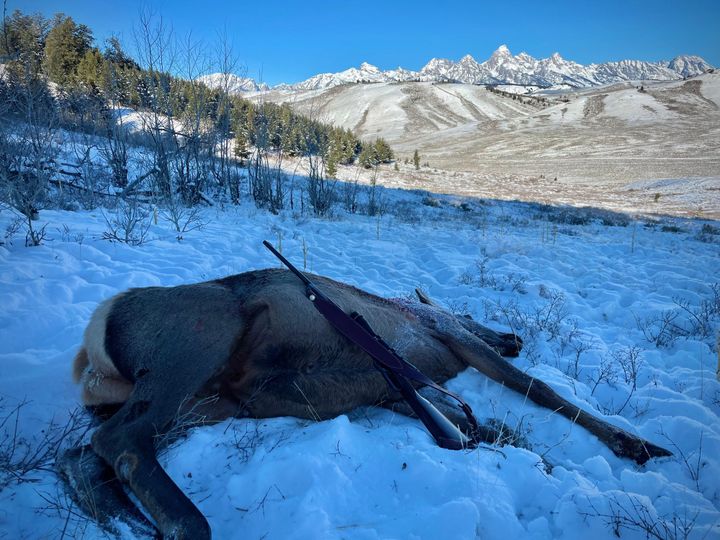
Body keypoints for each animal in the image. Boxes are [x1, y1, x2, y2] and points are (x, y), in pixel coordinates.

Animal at [59, 252, 672, 539]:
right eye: (472, 314)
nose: (515, 338)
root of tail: (90, 350)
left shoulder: (400, 384)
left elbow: (467, 423)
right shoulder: (447, 339)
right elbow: (537, 389)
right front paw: (639, 445)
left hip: (207, 403)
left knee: (82, 453)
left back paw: (128, 520)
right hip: (201, 338)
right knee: (120, 438)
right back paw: (185, 526)